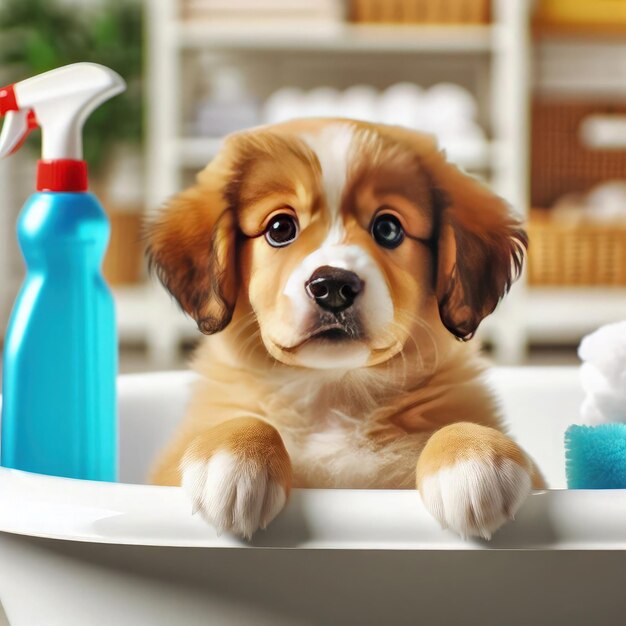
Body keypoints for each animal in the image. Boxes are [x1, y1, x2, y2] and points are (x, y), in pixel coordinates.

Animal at [145, 119, 540, 540]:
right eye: (280, 228)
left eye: (388, 228)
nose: (333, 286)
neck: (332, 395)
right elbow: (246, 420)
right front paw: (232, 454)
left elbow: (455, 424)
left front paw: (472, 455)